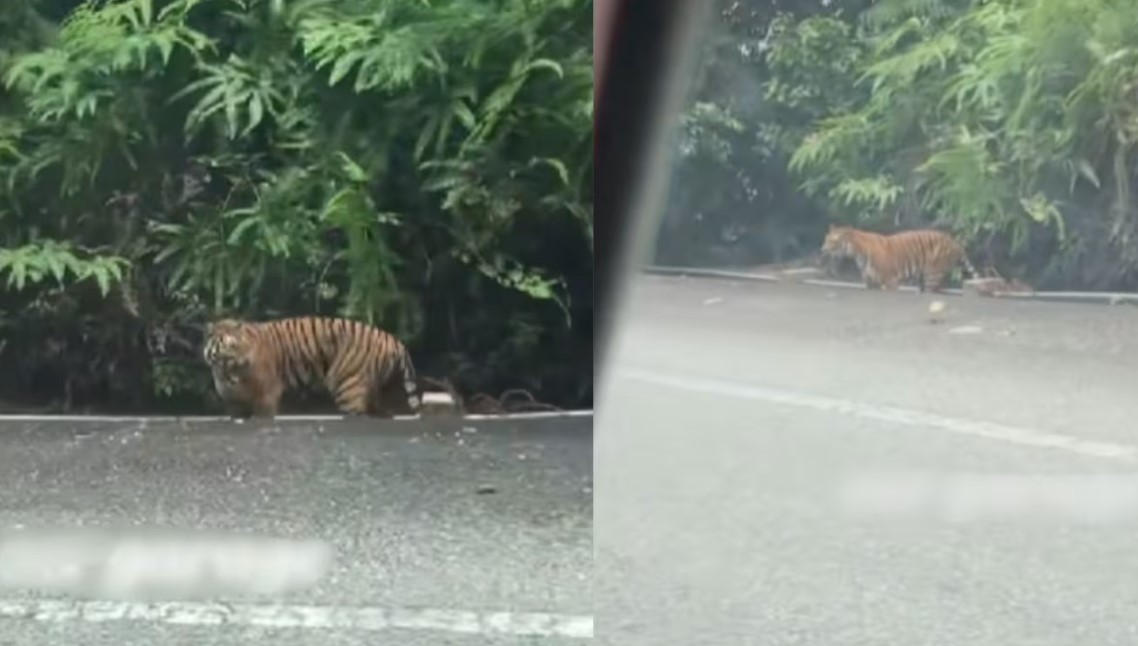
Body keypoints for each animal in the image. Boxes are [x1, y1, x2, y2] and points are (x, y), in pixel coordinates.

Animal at [202, 316, 422, 419]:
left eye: (234, 356)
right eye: (223, 359)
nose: (232, 379)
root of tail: (392, 339)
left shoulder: (268, 394)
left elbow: (264, 414)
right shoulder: (233, 404)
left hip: (348, 389)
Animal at [819, 225, 978, 293]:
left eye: (832, 241)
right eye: (826, 239)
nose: (823, 249)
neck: (857, 253)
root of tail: (954, 241)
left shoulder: (890, 281)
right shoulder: (870, 282)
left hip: (933, 274)